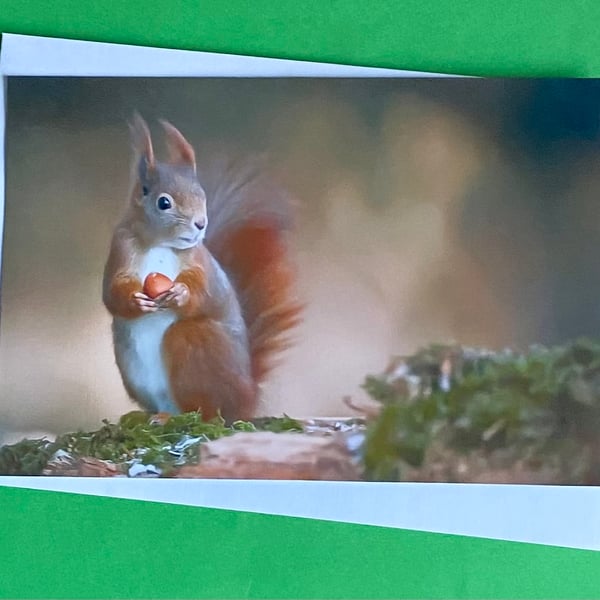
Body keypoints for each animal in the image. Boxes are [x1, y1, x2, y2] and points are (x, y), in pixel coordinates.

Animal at [103, 113, 302, 422]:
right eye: (164, 202)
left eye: (202, 195)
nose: (200, 224)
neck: (160, 243)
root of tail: (246, 398)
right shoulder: (120, 249)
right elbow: (112, 292)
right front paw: (135, 300)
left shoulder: (201, 263)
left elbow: (205, 290)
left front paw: (181, 294)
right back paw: (157, 416)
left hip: (194, 343)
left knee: (206, 408)